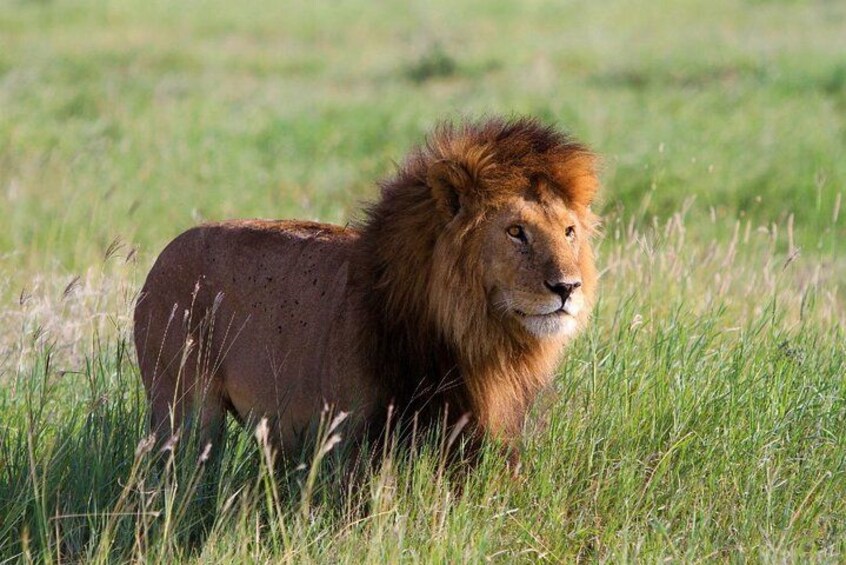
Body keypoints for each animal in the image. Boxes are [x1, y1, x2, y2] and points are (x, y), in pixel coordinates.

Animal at [133, 116, 600, 468]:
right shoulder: (356, 438)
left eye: (568, 231)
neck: (475, 340)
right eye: (516, 231)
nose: (567, 287)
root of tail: (161, 259)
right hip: (184, 412)